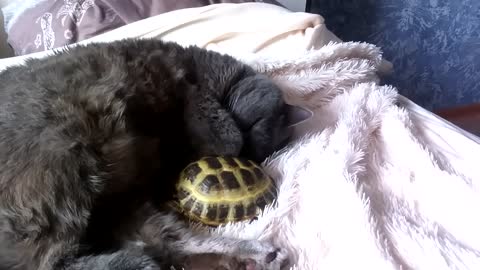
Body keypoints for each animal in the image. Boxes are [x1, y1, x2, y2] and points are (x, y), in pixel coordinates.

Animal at [0, 38, 312, 270]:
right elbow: (210, 114)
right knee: (48, 261)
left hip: (117, 200)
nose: (239, 153)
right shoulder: (192, 89)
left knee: (171, 242)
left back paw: (257, 256)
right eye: (256, 125)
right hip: (61, 167)